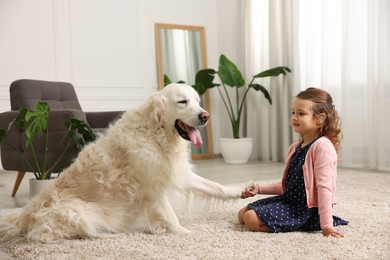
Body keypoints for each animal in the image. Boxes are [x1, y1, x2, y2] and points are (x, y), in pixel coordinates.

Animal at [1, 83, 248, 242]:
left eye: (197, 101)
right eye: (182, 102)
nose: (205, 116)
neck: (155, 134)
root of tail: (23, 218)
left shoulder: (176, 173)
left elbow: (215, 186)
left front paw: (241, 191)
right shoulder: (152, 189)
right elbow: (170, 215)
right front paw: (185, 233)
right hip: (78, 212)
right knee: (62, 234)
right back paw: (111, 234)